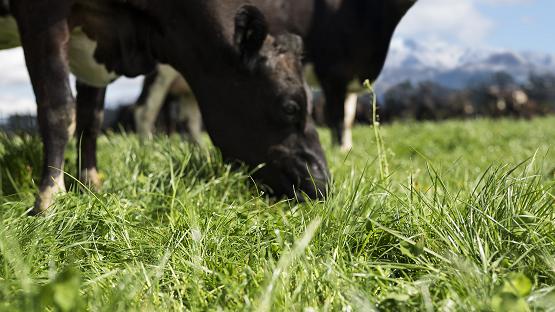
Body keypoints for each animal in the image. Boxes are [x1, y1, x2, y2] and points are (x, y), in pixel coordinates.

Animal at [0, 0, 330, 214]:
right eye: (290, 106)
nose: (322, 183)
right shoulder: (43, 15)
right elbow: (59, 110)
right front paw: (49, 200)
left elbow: (90, 118)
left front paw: (91, 186)